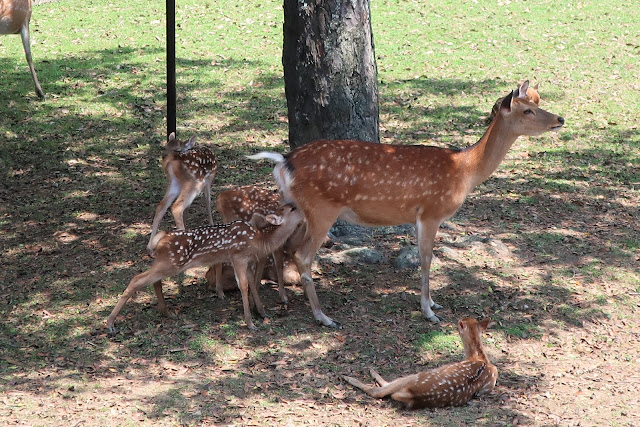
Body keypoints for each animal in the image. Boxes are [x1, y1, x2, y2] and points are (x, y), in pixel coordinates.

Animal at [105, 205, 304, 334]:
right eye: (292, 208)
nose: (305, 208)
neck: (259, 239)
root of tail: (161, 239)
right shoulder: (238, 256)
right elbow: (244, 286)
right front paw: (250, 323)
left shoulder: (246, 261)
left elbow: (253, 284)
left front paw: (262, 313)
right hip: (172, 262)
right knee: (136, 279)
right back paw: (110, 324)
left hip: (166, 263)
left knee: (153, 280)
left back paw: (166, 312)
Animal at [342, 320, 498, 410]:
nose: (457, 320)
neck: (479, 357)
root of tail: (413, 396)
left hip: (417, 375)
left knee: (379, 391)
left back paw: (352, 376)